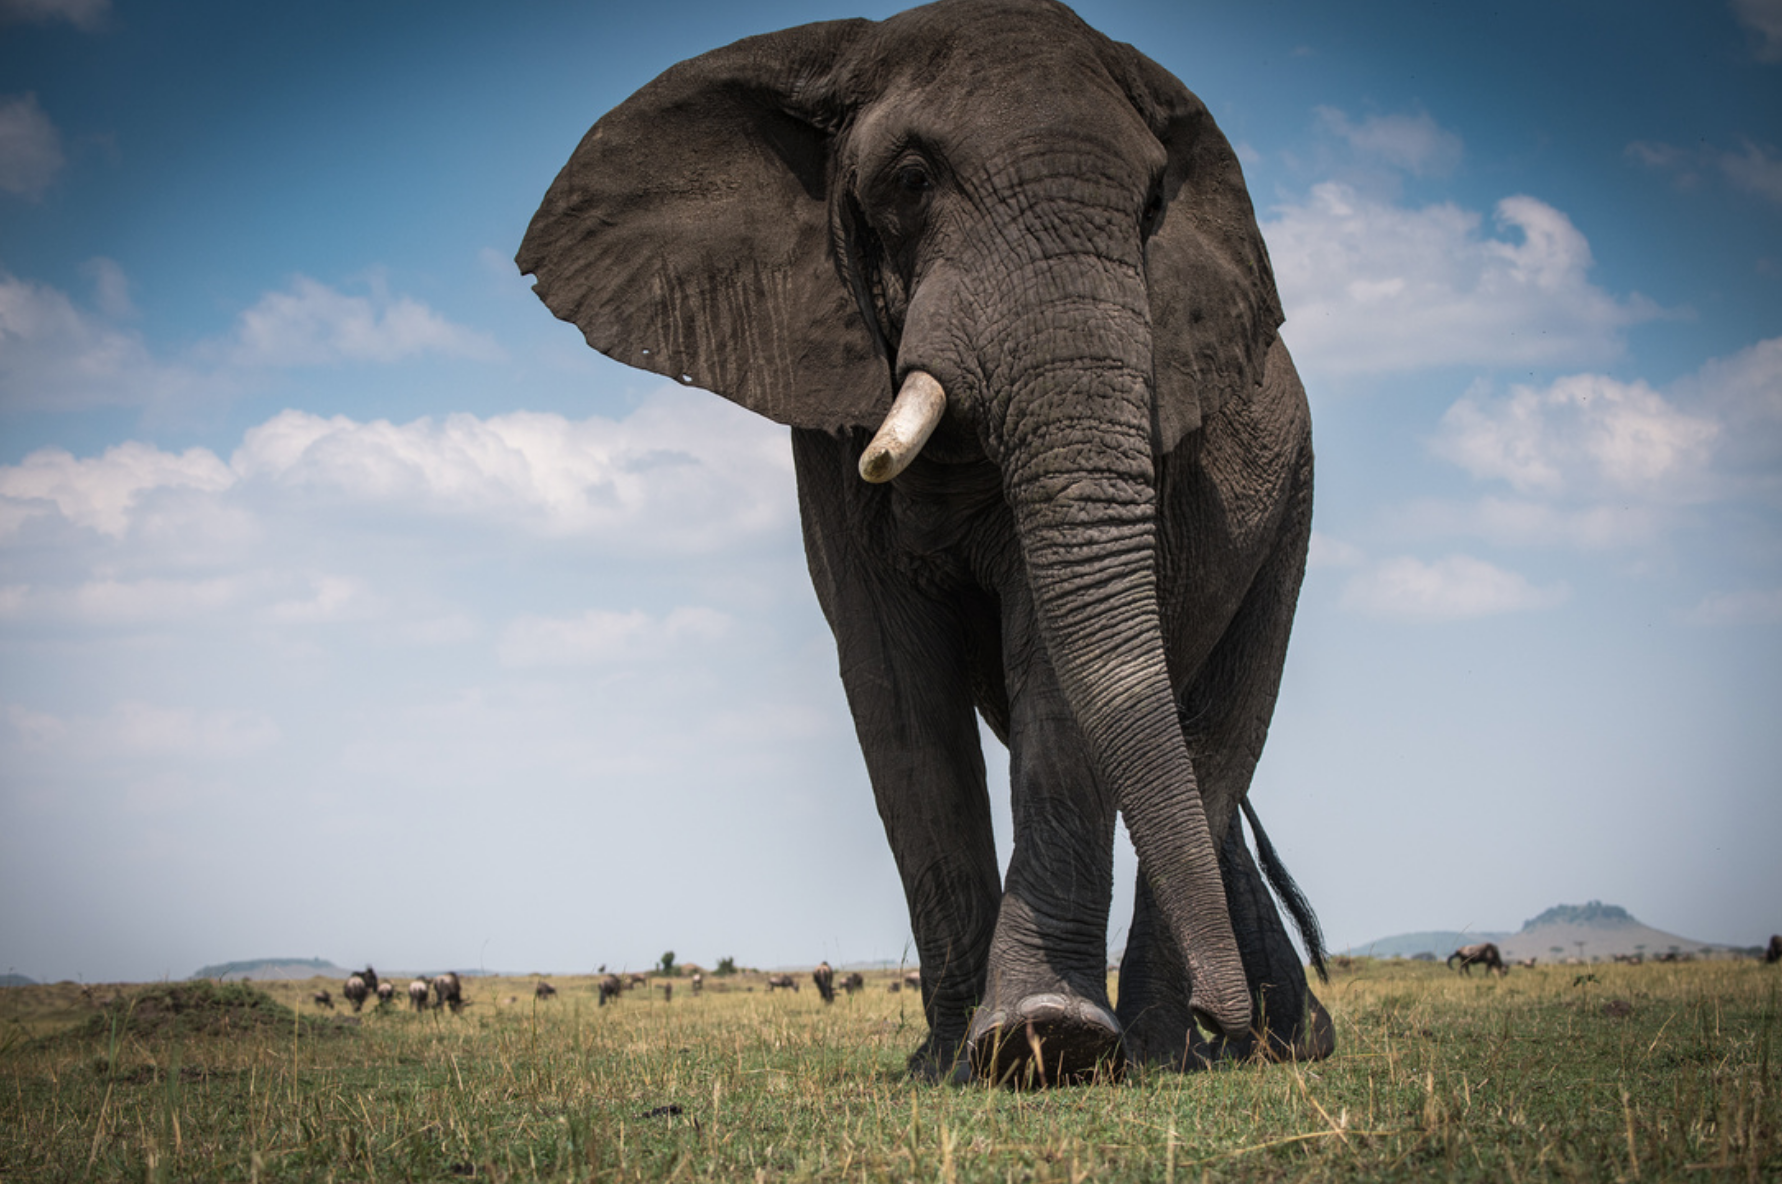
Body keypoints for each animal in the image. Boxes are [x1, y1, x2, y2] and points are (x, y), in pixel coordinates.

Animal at [516, 0, 1325, 1084]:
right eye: (910, 181)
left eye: (1154, 202)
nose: (1219, 1013)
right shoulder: (828, 406)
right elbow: (896, 683)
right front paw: (952, 1063)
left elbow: (1054, 661)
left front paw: (1046, 1040)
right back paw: (1249, 1043)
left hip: (1291, 505)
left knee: (1215, 738)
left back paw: (1172, 1051)